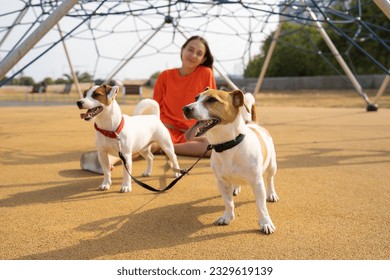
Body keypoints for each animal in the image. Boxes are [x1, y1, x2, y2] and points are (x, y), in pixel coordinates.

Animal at [183, 88, 278, 233]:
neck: (227, 145)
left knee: (270, 179)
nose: (185, 108)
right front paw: (227, 217)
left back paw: (272, 194)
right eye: (196, 98)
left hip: (272, 166)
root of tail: (254, 124)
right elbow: (228, 203)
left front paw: (265, 223)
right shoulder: (222, 182)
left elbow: (261, 206)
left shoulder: (257, 183)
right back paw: (236, 189)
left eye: (212, 100)